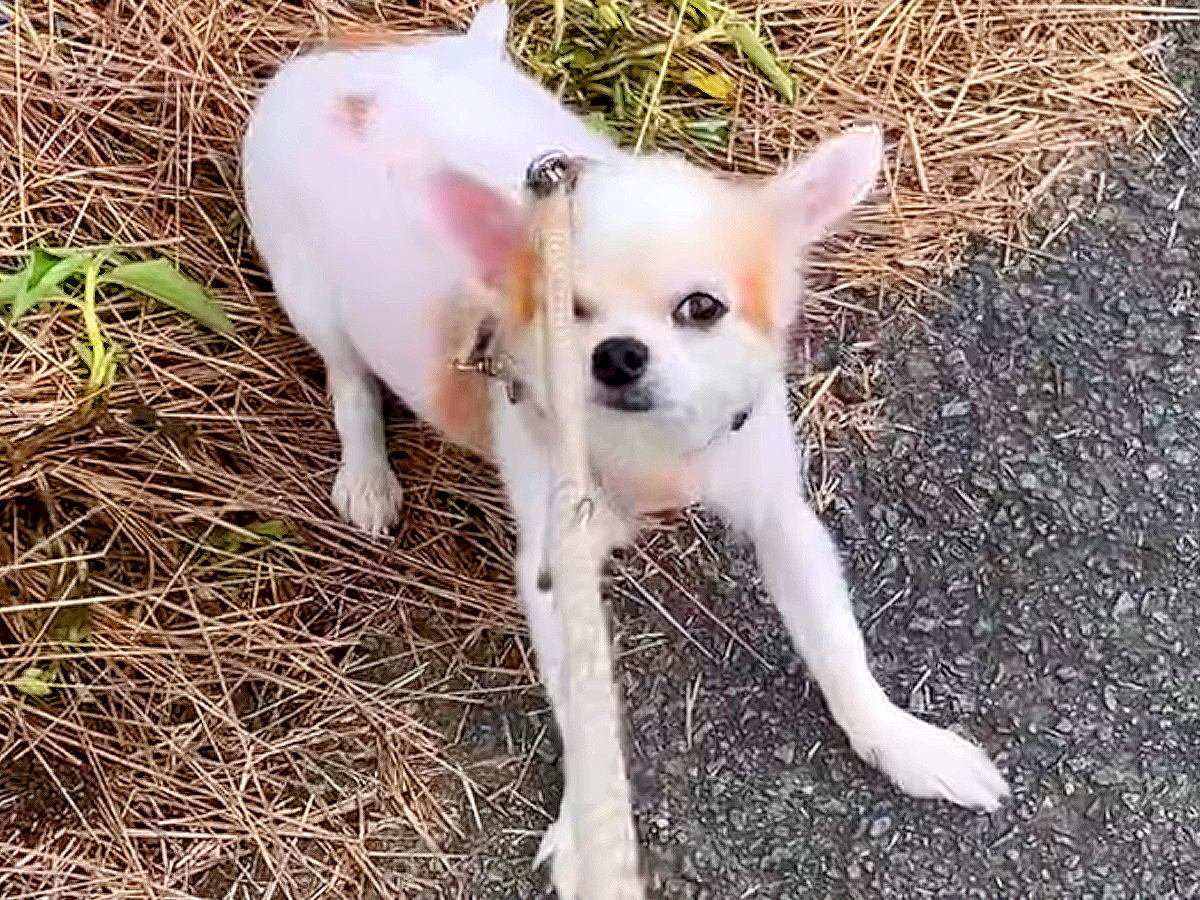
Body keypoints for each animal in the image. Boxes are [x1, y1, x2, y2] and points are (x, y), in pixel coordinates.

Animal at [248, 3, 1008, 897]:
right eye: (567, 309)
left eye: (702, 307)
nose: (617, 354)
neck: (655, 451)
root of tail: (341, 65)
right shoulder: (555, 567)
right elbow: (582, 707)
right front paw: (586, 830)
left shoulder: (781, 516)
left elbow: (835, 642)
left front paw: (899, 740)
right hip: (307, 293)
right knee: (347, 379)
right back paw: (367, 473)